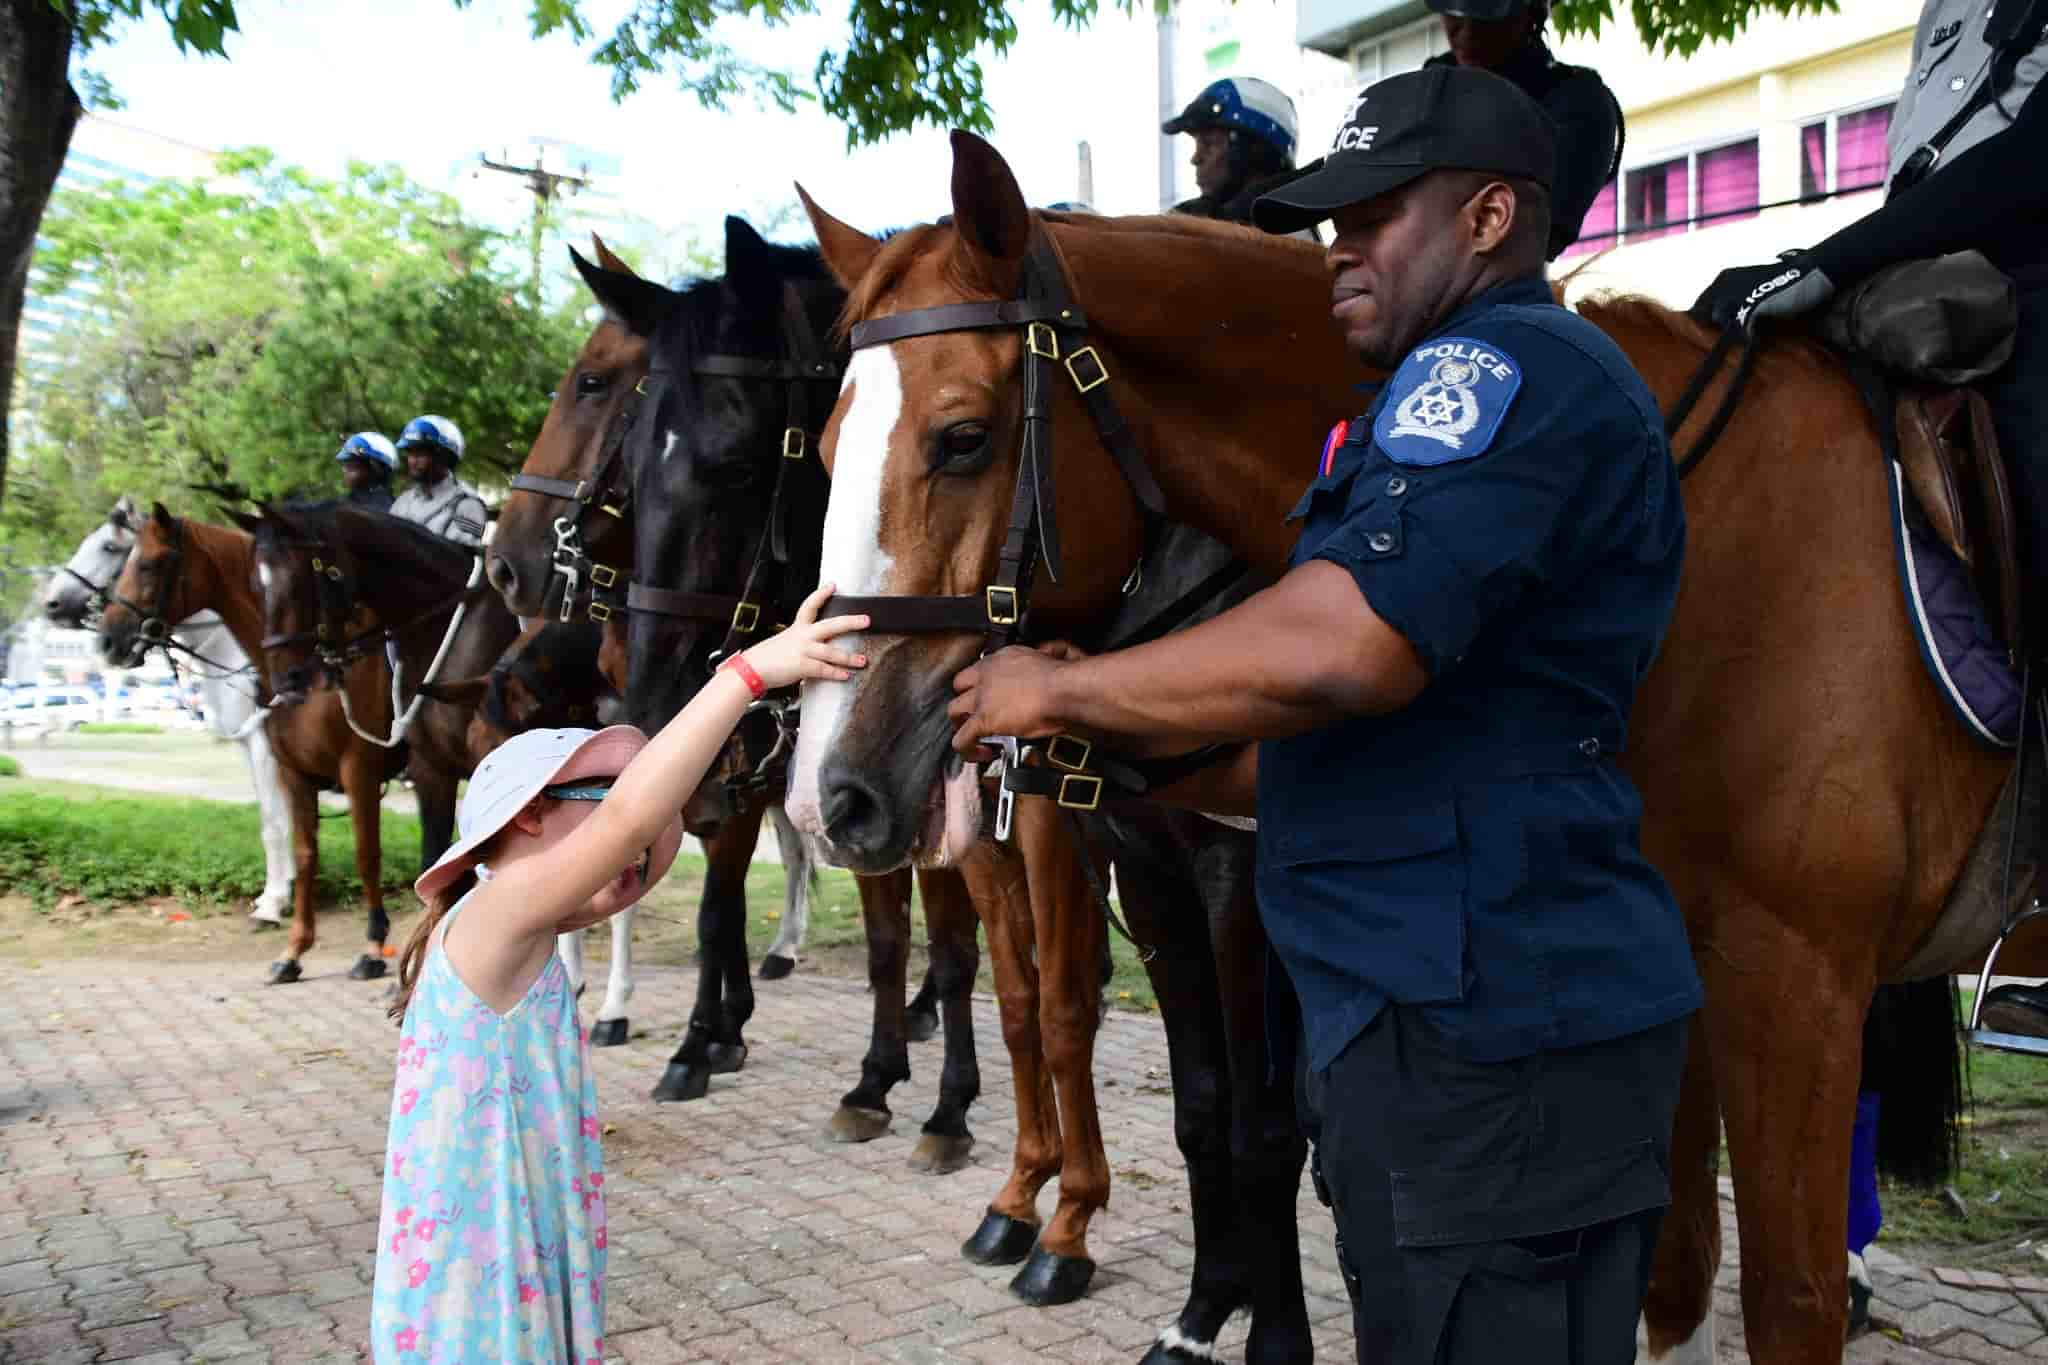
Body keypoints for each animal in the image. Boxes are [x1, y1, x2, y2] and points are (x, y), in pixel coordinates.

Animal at [48, 501, 296, 929]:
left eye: (109, 546)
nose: (52, 604)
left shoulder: (265, 742)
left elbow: (274, 819)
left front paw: (274, 902)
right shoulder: (254, 745)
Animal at [99, 507, 423, 986]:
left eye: (151, 564)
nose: (108, 639)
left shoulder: (358, 768)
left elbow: (367, 854)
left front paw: (371, 948)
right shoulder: (293, 772)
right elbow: (304, 855)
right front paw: (294, 950)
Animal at [786, 130, 2048, 1365]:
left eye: (961, 438)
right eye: (827, 451)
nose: (828, 795)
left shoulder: (1791, 982)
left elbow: (1780, 1295)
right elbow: (1664, 1271)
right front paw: (1182, 1300)